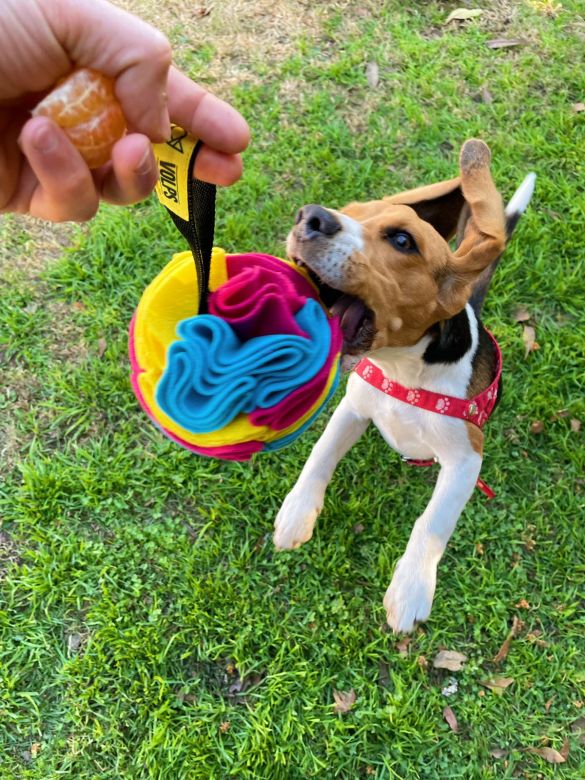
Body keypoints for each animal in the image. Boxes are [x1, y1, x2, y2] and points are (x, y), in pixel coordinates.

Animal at [274, 137, 532, 632]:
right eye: (349, 211)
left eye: (401, 240)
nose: (308, 217)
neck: (405, 370)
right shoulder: (352, 409)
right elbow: (319, 457)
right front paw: (297, 513)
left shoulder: (466, 458)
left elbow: (431, 524)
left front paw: (411, 589)